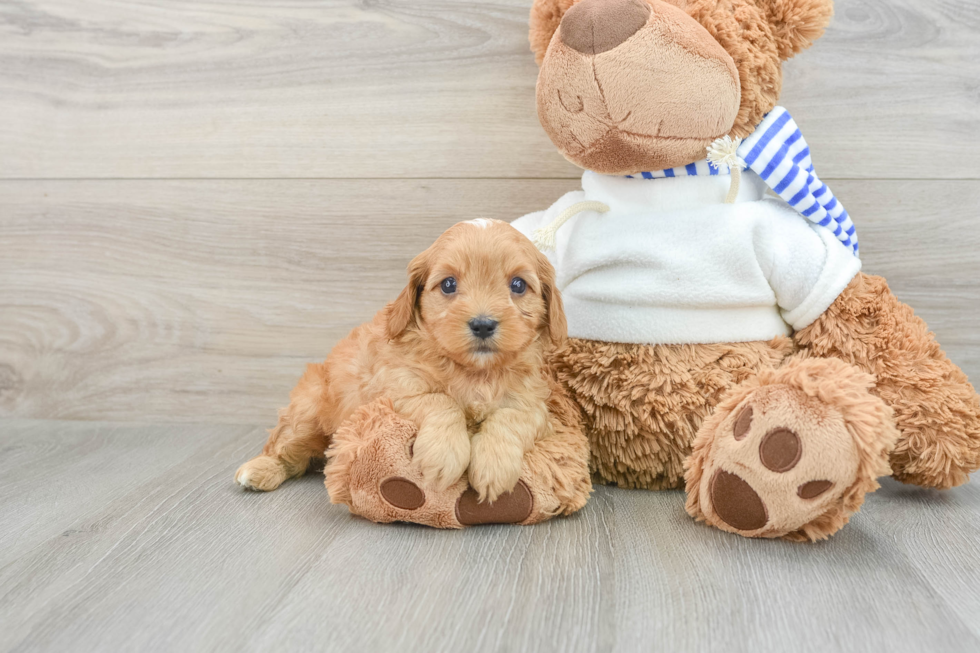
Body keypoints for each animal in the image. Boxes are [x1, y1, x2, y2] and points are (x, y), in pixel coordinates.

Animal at [235, 218, 568, 500]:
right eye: (448, 284)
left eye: (518, 285)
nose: (483, 324)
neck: (474, 372)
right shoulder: (394, 392)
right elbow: (441, 401)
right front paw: (443, 455)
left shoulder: (534, 404)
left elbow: (511, 417)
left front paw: (494, 466)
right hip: (307, 410)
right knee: (286, 449)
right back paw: (259, 470)